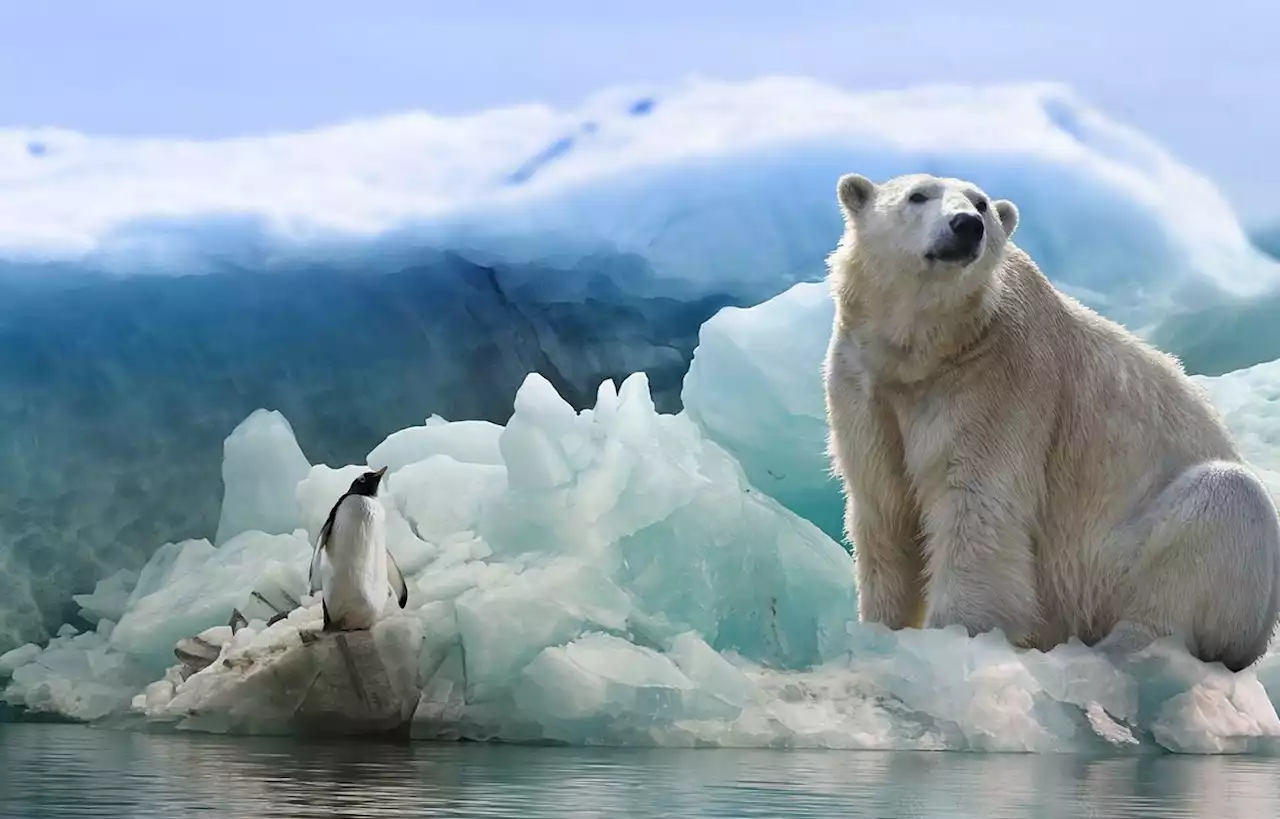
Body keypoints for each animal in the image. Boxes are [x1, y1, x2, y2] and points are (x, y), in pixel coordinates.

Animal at [819, 171, 1280, 670]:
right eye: (917, 195)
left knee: (1223, 507)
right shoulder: (864, 385)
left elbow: (977, 506)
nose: (966, 225)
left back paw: (1127, 647)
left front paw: (957, 636)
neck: (929, 351)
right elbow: (884, 507)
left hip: (1123, 562)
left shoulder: (998, 379)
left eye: (981, 204)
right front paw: (881, 630)